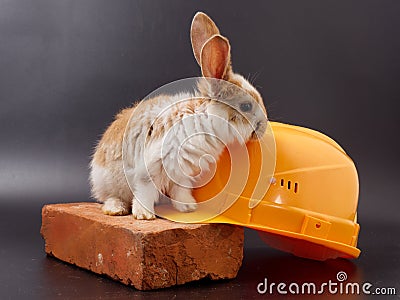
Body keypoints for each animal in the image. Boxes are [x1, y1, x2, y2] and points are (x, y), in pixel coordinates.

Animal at [89, 11, 268, 219]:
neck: (203, 120)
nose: (264, 127)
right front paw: (144, 215)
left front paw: (188, 207)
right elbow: (144, 191)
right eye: (246, 106)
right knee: (111, 197)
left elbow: (181, 191)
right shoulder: (150, 167)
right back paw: (116, 209)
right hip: (111, 182)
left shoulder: (183, 173)